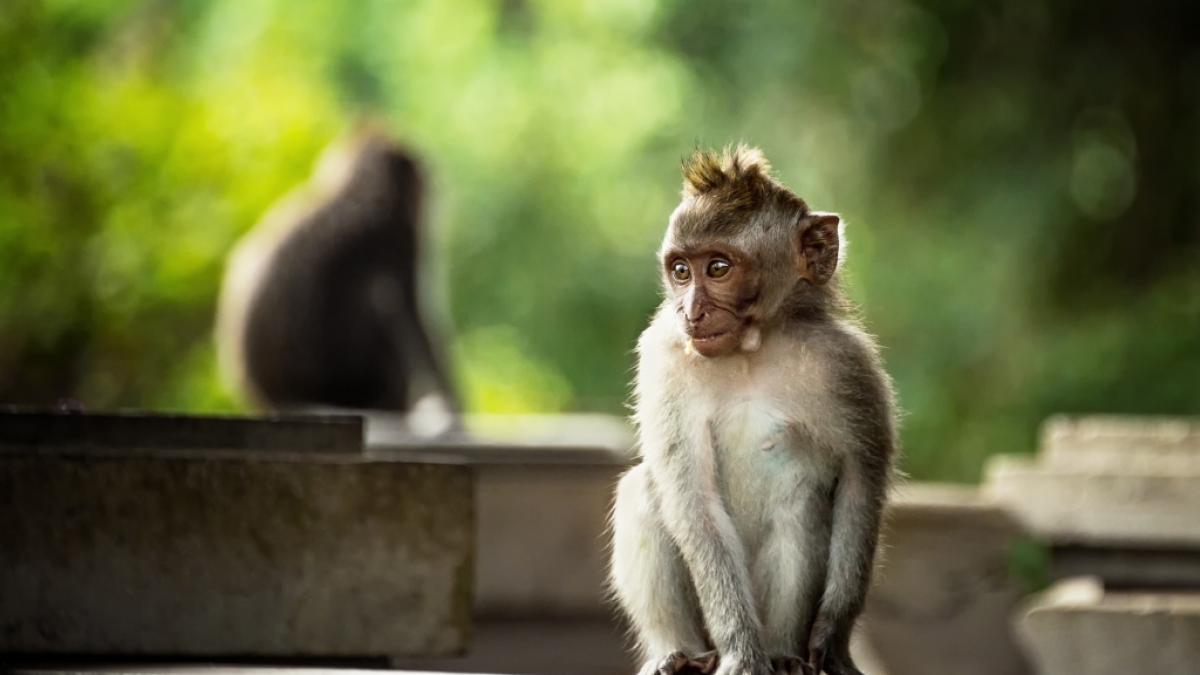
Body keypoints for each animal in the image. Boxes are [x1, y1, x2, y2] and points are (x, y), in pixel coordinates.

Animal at [609, 146, 897, 675]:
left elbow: (859, 485)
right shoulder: (663, 358)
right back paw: (675, 654)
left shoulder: (848, 366)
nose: (691, 312)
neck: (751, 350)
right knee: (643, 489)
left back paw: (783, 653)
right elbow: (694, 501)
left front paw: (833, 637)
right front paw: (741, 651)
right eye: (681, 271)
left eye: (718, 268)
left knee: (800, 505)